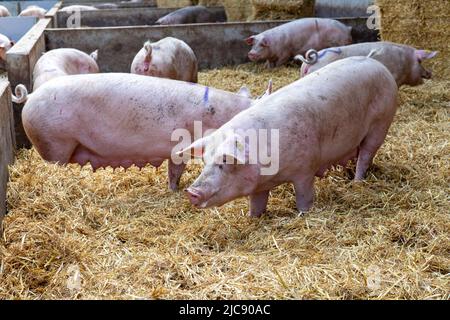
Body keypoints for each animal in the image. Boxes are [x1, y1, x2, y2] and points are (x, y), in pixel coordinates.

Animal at [179, 53, 398, 216]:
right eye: (205, 160)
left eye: (224, 161)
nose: (191, 191)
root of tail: (378, 64)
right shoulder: (260, 186)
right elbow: (257, 205)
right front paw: (253, 217)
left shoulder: (305, 169)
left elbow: (304, 197)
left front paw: (303, 214)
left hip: (381, 123)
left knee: (366, 156)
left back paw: (357, 182)